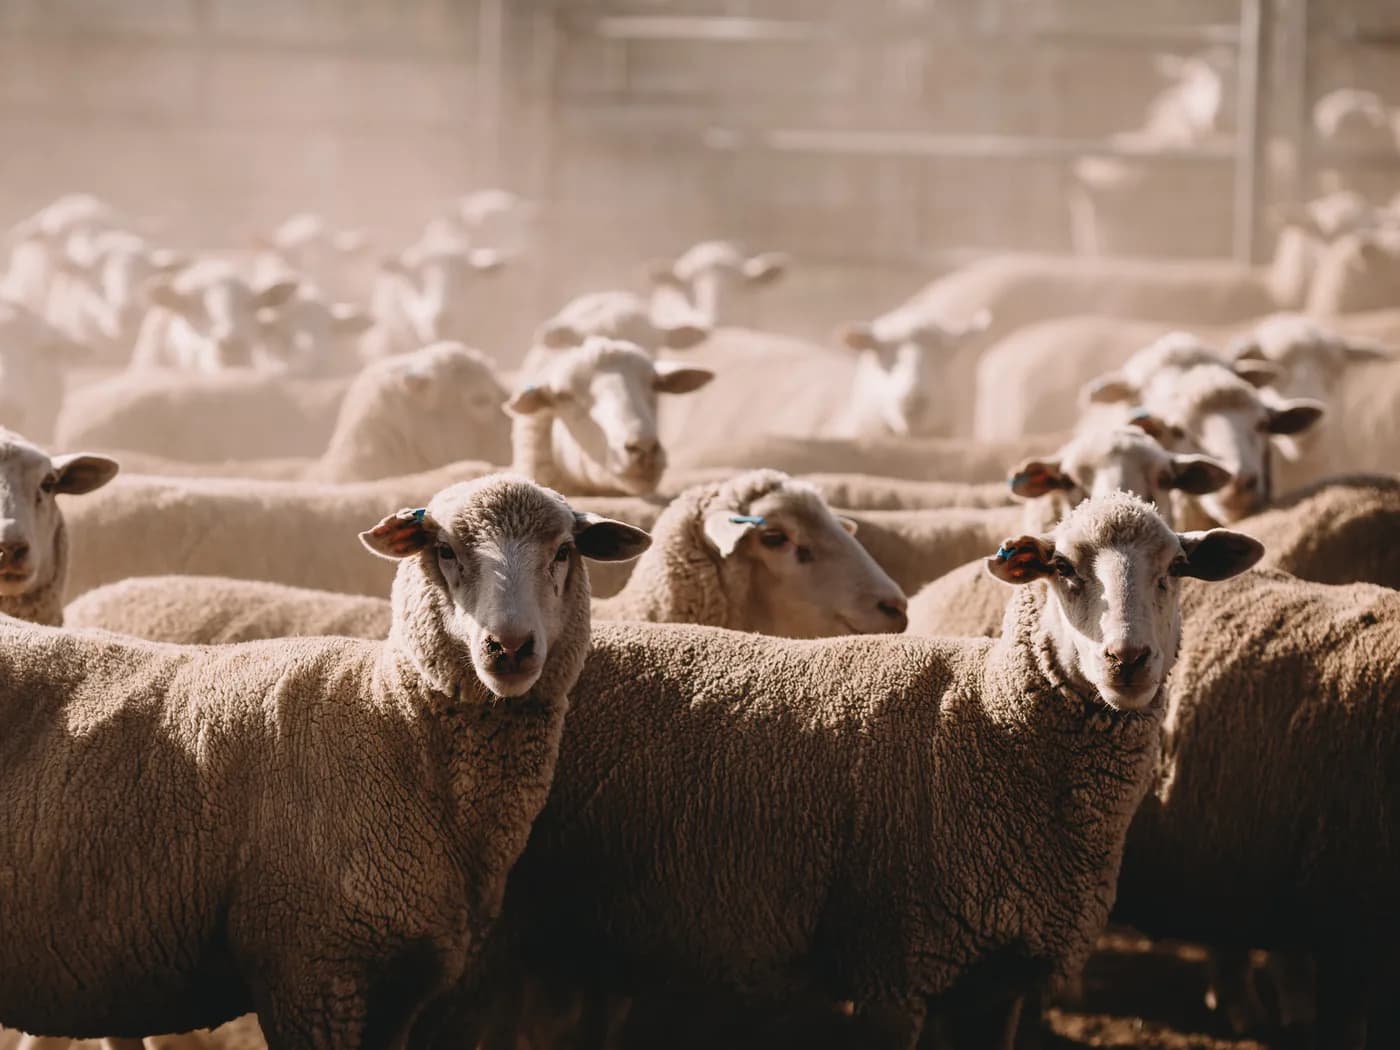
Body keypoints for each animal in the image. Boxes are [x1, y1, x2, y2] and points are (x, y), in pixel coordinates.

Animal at [0, 473, 649, 1048]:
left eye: (563, 551)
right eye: (444, 550)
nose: (509, 647)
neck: (389, 718)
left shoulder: (400, 986)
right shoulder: (312, 968)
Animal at [475, 492, 1263, 1050]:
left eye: (1175, 571)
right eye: (1063, 570)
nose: (1127, 661)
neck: (991, 720)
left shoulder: (998, 980)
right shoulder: (897, 963)